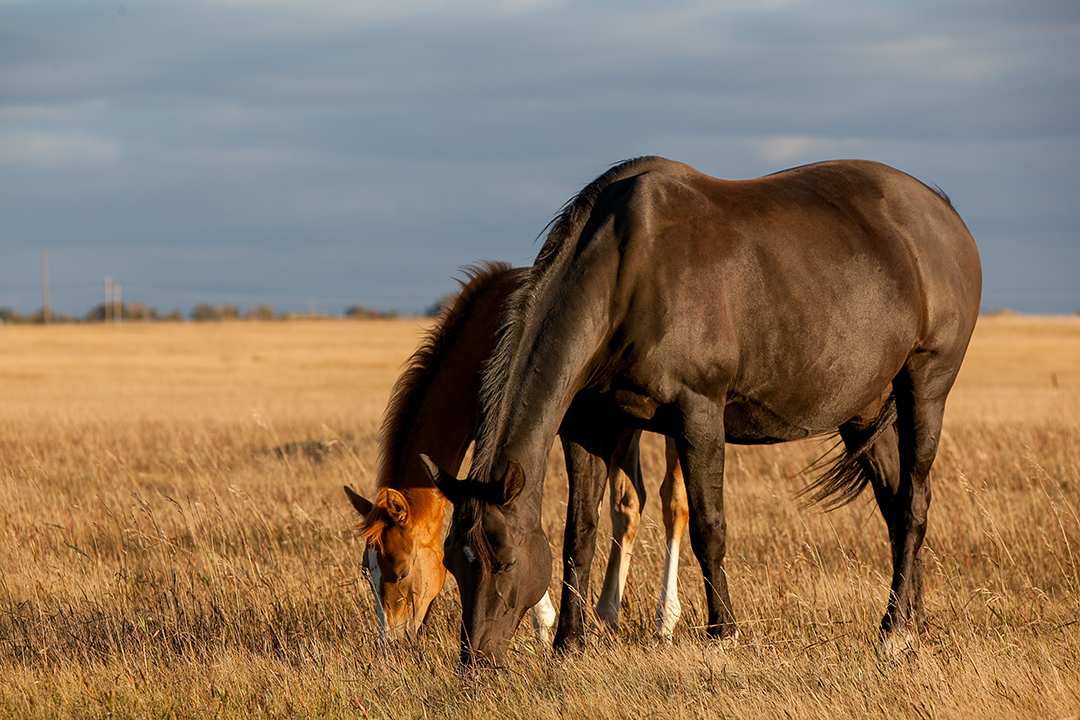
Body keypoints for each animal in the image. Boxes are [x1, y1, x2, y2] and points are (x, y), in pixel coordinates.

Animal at [345, 261, 688, 644]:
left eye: (401, 570)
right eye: (367, 570)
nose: (392, 643)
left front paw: (544, 623)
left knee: (673, 504)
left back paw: (666, 620)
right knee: (629, 505)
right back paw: (607, 613)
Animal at [422, 156, 982, 666]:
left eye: (504, 560)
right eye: (453, 562)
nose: (475, 661)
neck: (627, 273)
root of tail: (945, 214)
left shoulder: (698, 416)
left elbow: (708, 529)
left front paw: (722, 634)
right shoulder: (588, 427)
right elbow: (578, 533)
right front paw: (569, 645)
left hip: (925, 388)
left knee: (913, 504)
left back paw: (894, 632)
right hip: (865, 410)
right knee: (895, 504)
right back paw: (911, 619)